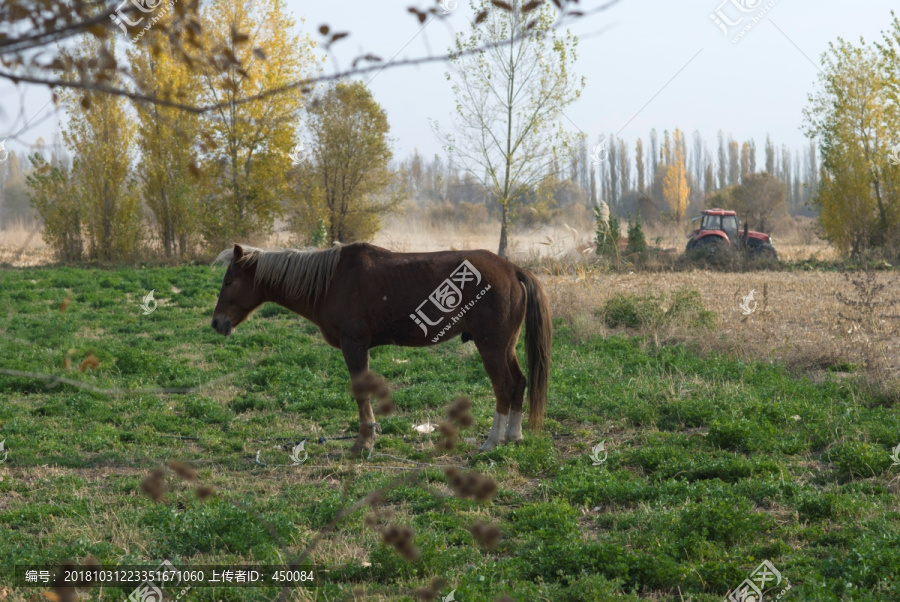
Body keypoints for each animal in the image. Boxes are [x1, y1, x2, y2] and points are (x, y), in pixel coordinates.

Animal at [213, 241, 548, 452]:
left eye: (229, 282)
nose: (217, 323)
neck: (331, 281)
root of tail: (513, 270)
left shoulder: (354, 346)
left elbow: (361, 394)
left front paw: (364, 443)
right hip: (506, 347)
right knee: (519, 383)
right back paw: (513, 436)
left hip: (491, 347)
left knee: (504, 387)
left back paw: (492, 442)